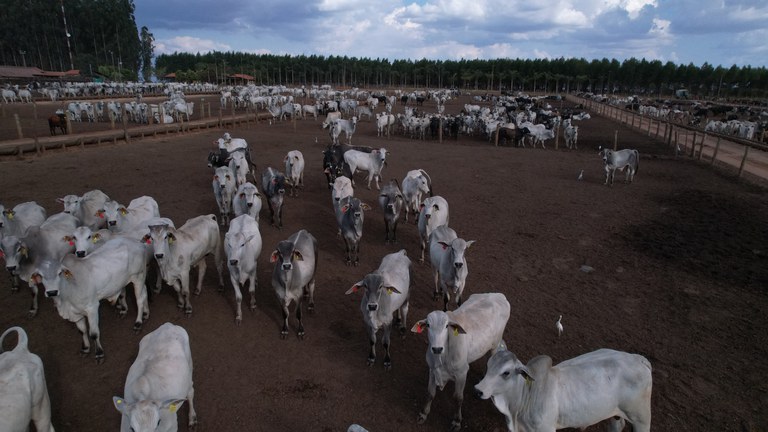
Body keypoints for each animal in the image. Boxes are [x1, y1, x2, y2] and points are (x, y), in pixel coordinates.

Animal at [412, 292, 512, 430]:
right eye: (428, 325)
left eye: (446, 326)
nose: (437, 348)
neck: (443, 357)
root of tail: (499, 295)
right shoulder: (432, 370)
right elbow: (430, 393)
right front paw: (423, 413)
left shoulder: (461, 373)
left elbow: (458, 398)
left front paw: (457, 421)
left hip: (495, 345)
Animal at [474, 348, 656, 432]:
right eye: (488, 366)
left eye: (506, 373)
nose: (478, 390)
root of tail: (638, 359)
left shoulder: (546, 429)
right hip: (615, 414)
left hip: (641, 418)